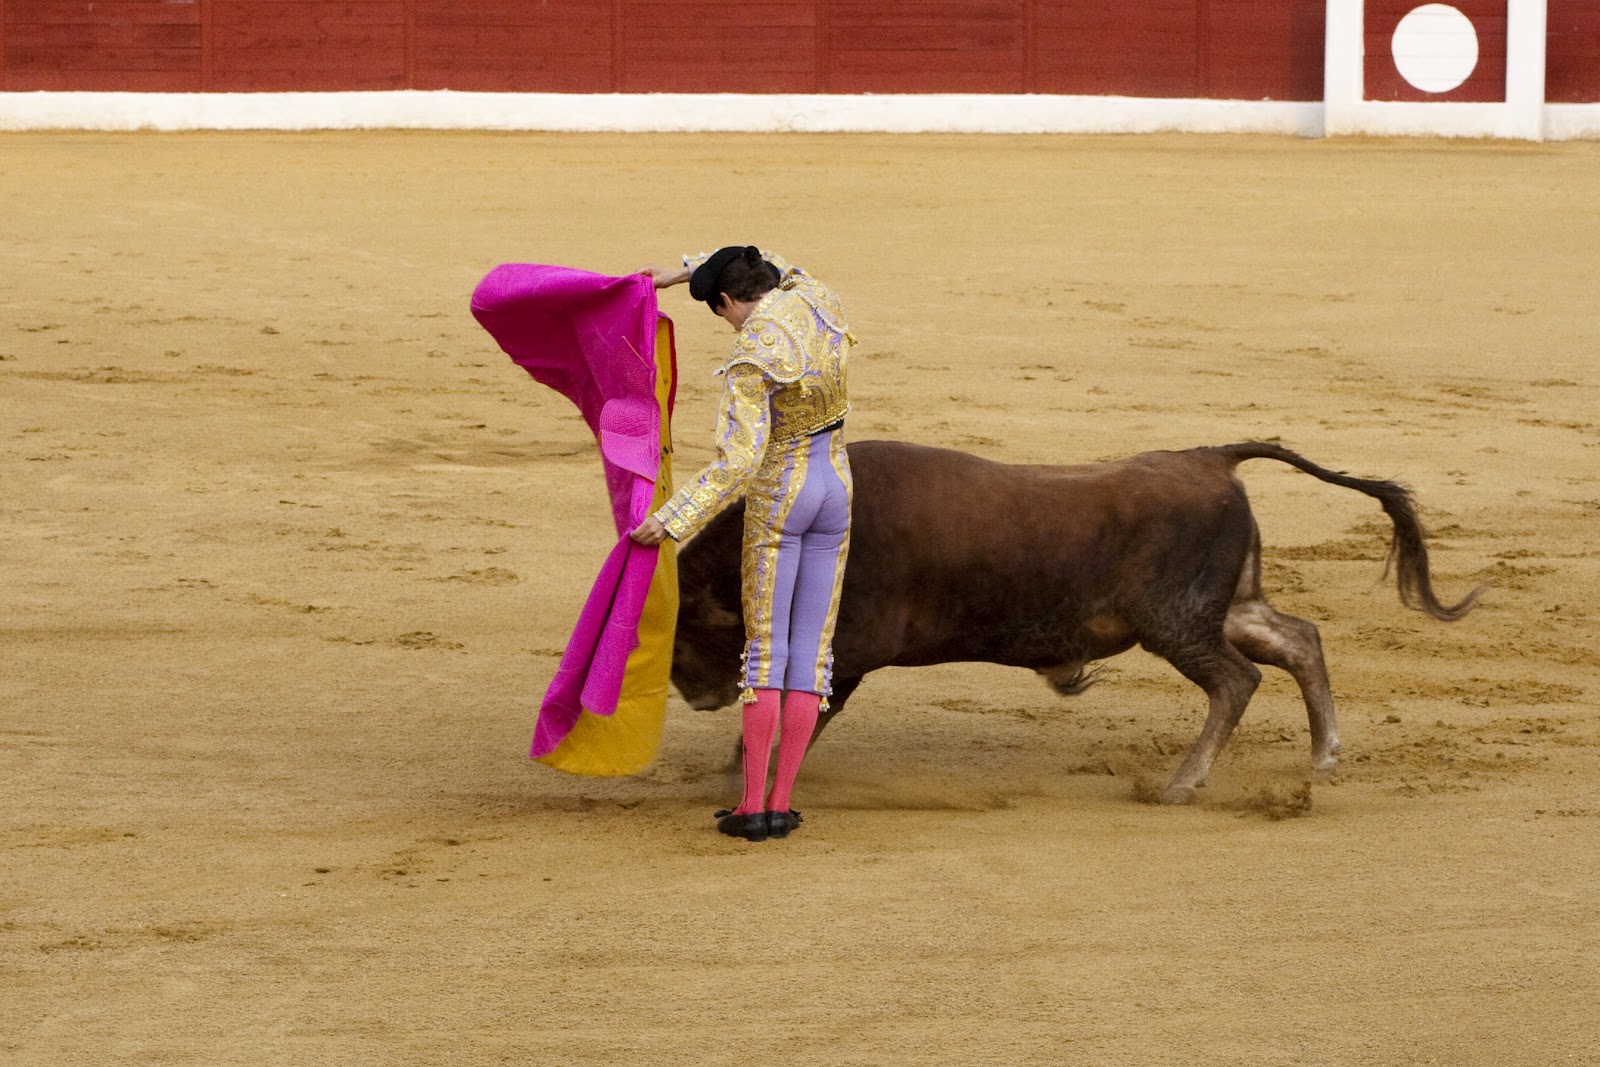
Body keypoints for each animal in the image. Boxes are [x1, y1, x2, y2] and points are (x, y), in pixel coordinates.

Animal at [668, 441, 1478, 799]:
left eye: (689, 627)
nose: (688, 692)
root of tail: (1209, 457)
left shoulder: (849, 646)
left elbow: (805, 708)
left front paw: (741, 775)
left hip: (1177, 622)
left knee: (1237, 679)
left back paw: (1181, 783)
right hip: (1219, 608)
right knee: (1298, 640)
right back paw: (1323, 756)